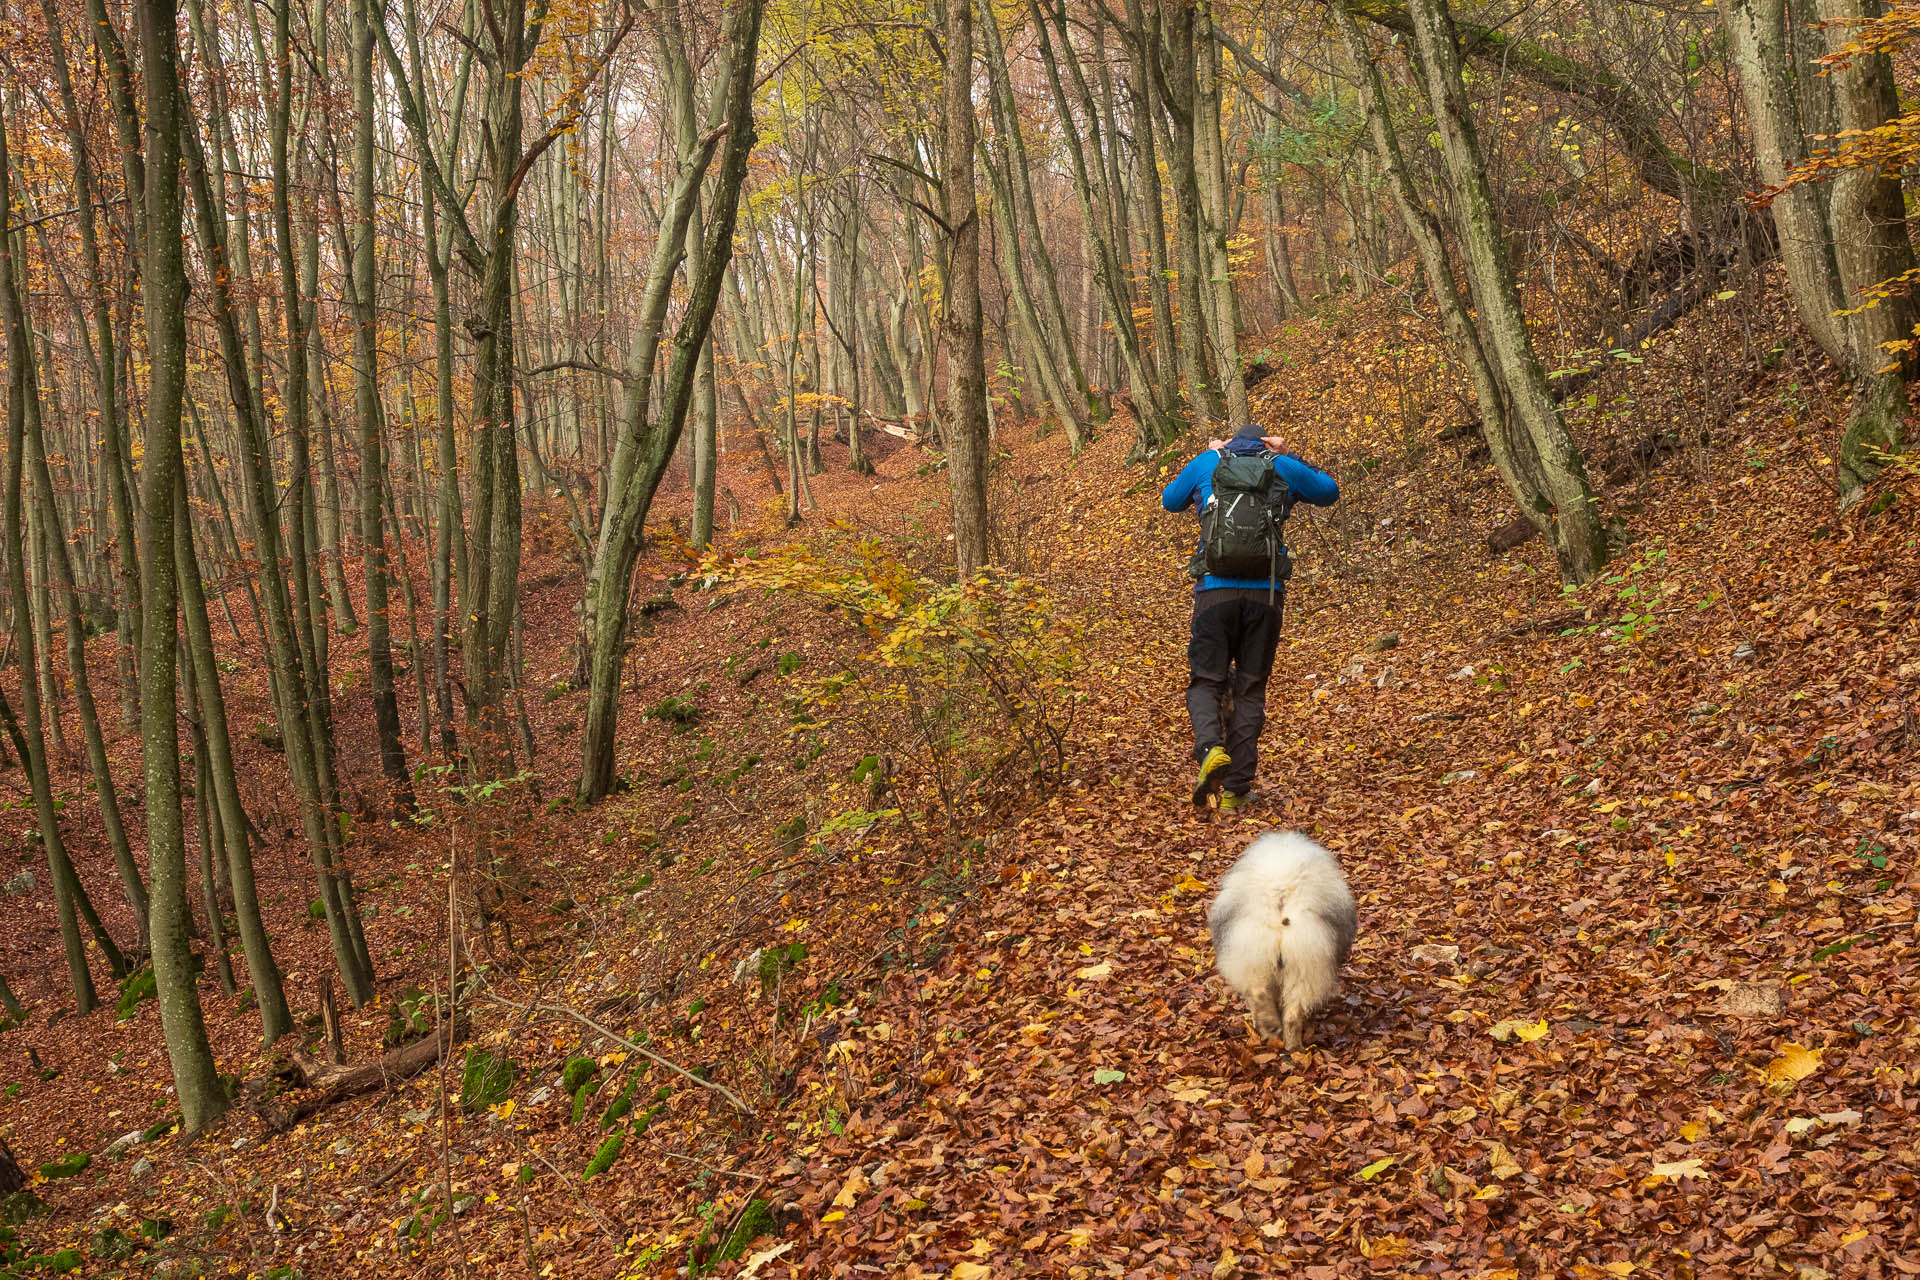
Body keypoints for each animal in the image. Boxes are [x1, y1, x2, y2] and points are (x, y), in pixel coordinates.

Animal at [1205, 832, 1359, 1051]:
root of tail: (1280, 895)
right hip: (1302, 967)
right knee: (1289, 1011)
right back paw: (1289, 1044)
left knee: (1267, 999)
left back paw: (1277, 1034)